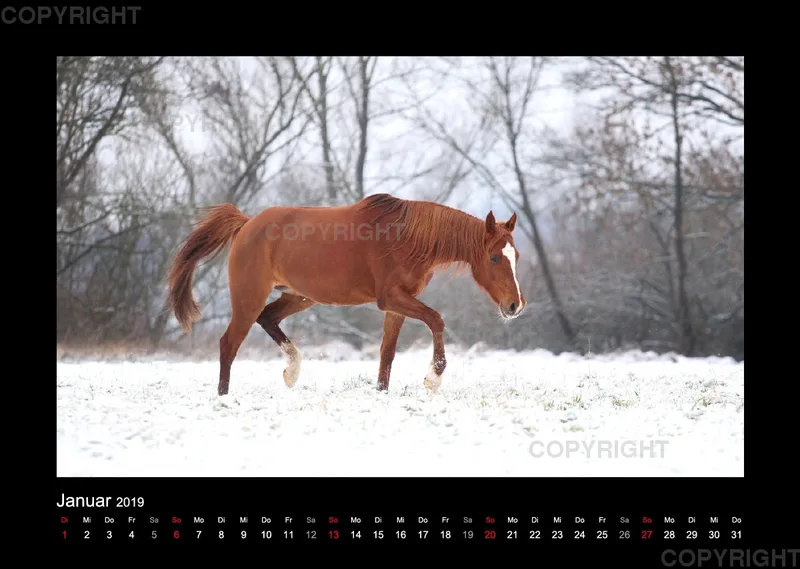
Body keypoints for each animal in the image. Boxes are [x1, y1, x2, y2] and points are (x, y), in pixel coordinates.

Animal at [166, 193, 526, 396]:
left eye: (516, 256)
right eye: (495, 258)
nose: (515, 306)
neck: (406, 237)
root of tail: (246, 223)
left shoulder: (396, 305)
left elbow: (386, 353)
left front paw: (381, 392)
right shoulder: (391, 298)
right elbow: (437, 320)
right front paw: (434, 377)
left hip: (299, 296)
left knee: (268, 319)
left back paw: (292, 372)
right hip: (248, 298)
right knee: (229, 344)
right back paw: (224, 397)